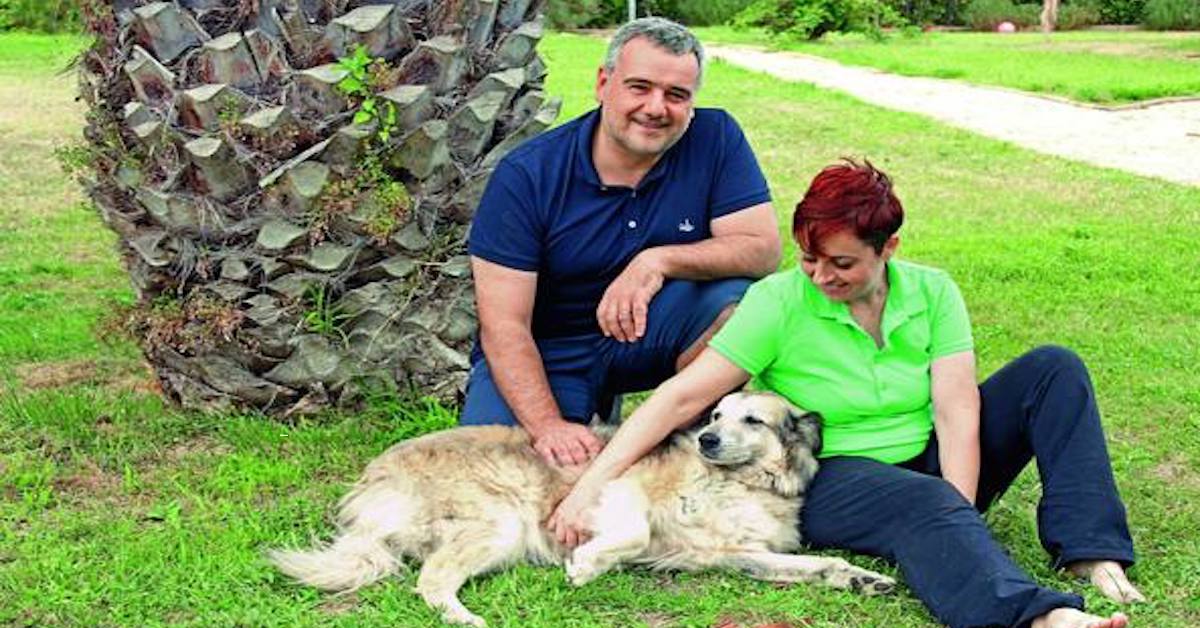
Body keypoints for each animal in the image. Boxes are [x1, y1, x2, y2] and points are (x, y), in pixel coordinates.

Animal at [270, 391, 892, 624]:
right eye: (715, 414)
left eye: (752, 420)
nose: (706, 439)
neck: (741, 481)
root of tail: (371, 480)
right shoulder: (622, 488)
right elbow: (633, 534)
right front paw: (588, 565)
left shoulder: (730, 554)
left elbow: (816, 566)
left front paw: (861, 578)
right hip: (500, 524)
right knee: (430, 581)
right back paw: (468, 619)